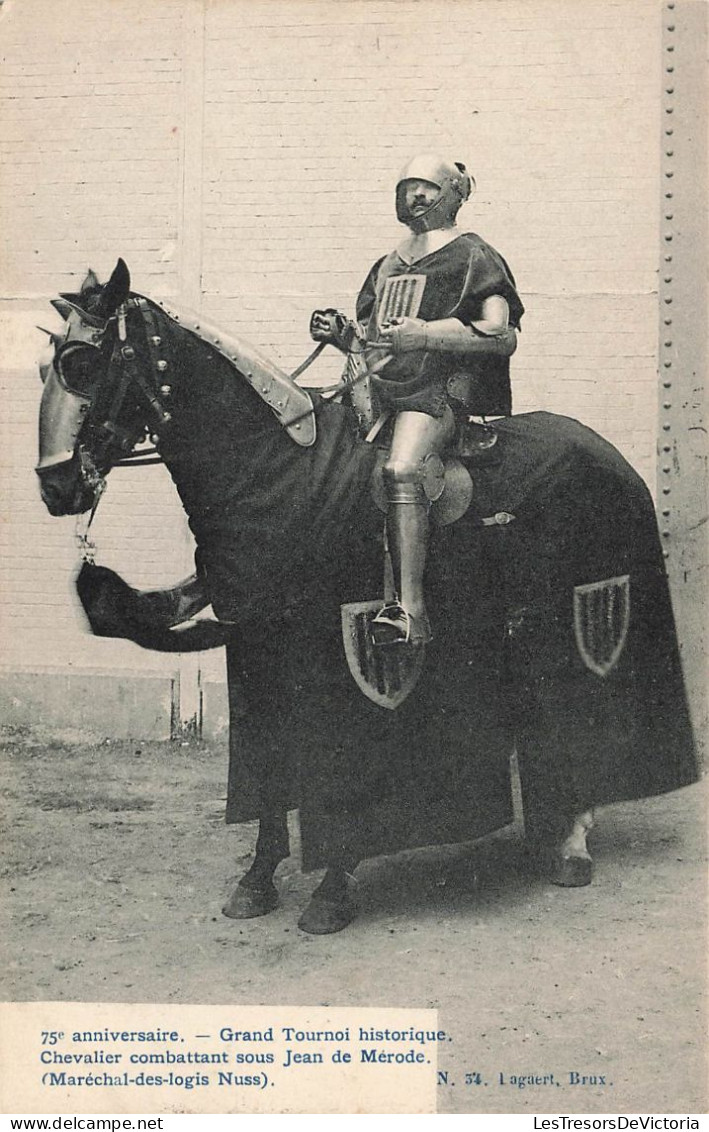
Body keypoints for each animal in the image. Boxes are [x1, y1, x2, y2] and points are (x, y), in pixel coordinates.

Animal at [35, 260, 693, 932]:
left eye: (83, 363)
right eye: (46, 365)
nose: (57, 485)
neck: (279, 471)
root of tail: (612, 457)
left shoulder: (338, 649)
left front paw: (331, 890)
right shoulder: (257, 650)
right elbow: (268, 764)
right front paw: (257, 878)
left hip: (582, 609)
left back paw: (574, 844)